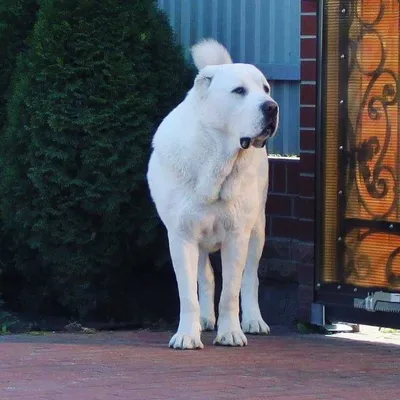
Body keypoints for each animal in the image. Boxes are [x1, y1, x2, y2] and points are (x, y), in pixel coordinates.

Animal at [147, 39, 278, 348]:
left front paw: (230, 333)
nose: (271, 107)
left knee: (250, 277)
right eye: (239, 91)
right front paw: (186, 335)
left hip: (257, 230)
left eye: (266, 89)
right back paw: (204, 319)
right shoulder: (181, 236)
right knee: (205, 276)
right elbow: (187, 294)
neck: (217, 162)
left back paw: (253, 321)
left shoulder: (237, 237)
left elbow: (230, 291)